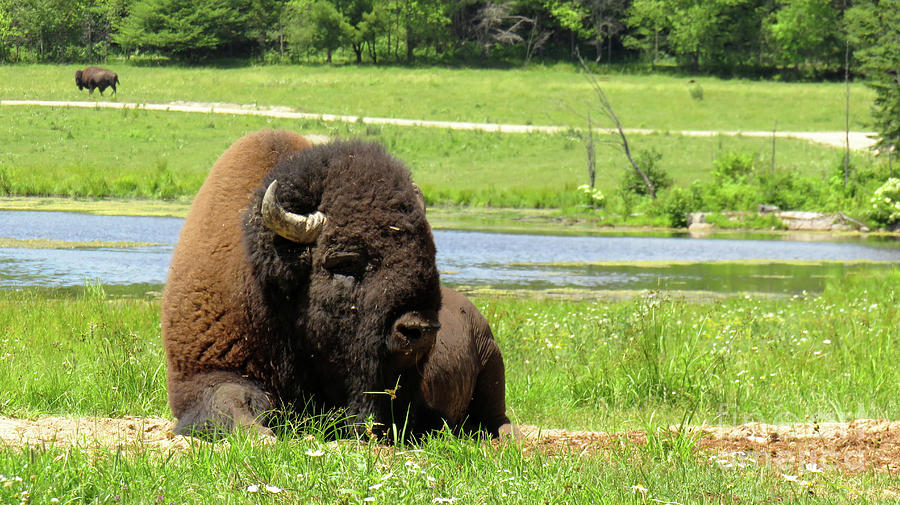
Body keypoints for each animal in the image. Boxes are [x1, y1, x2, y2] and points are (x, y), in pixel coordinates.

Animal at [163, 129, 512, 438]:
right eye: (345, 262)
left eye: (427, 254)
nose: (418, 329)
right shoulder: (203, 375)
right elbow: (230, 401)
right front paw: (262, 436)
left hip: (493, 368)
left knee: (498, 420)